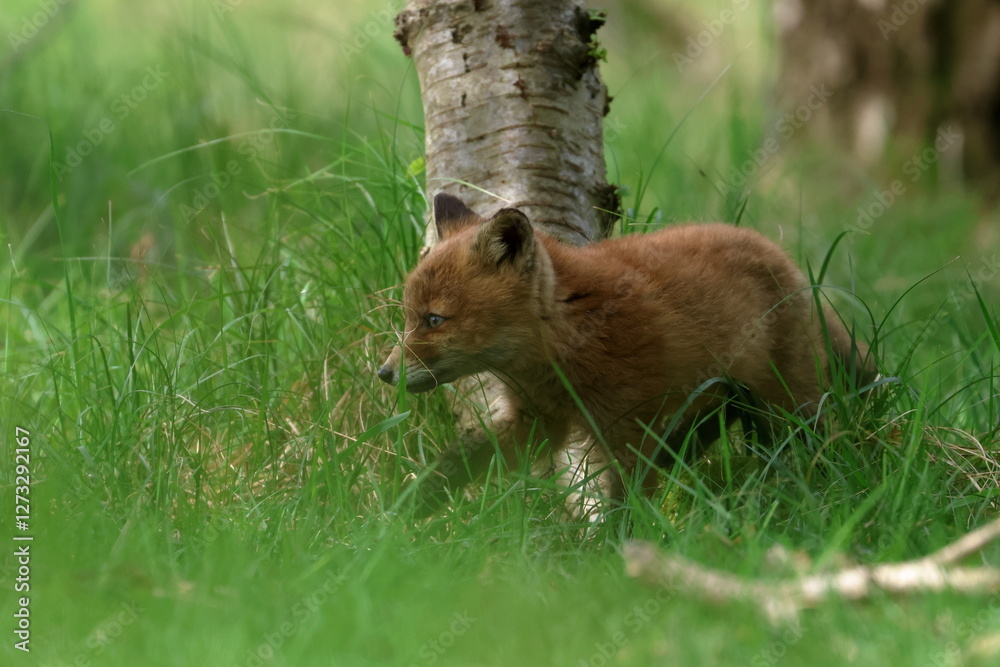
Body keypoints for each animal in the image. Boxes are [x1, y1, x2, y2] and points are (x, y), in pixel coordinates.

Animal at [378, 193, 874, 515]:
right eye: (408, 316)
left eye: (434, 320)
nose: (384, 373)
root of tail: (780, 255)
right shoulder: (536, 420)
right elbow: (454, 463)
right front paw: (400, 513)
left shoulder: (628, 430)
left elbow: (626, 507)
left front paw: (613, 562)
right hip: (718, 409)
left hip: (787, 404)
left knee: (817, 444)